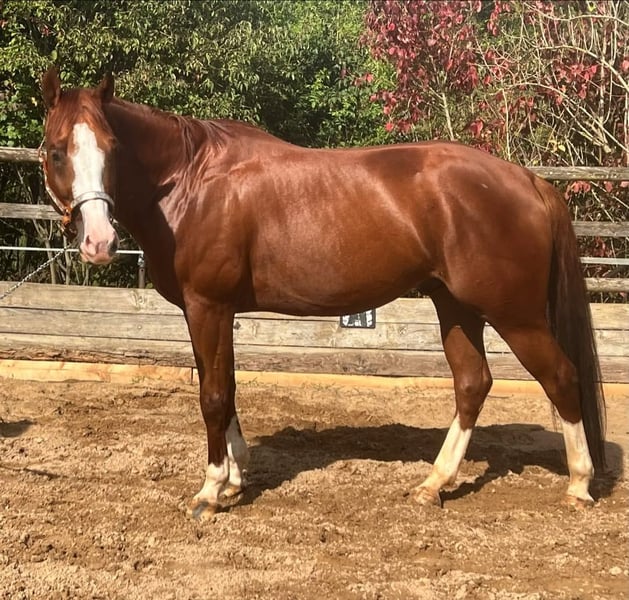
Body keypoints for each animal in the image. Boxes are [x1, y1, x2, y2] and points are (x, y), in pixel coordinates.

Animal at [40, 67, 605, 520]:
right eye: (56, 150)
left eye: (112, 150)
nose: (99, 242)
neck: (191, 181)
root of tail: (528, 180)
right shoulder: (211, 312)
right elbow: (228, 389)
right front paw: (237, 478)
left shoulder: (208, 307)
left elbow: (214, 396)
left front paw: (210, 490)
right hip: (457, 306)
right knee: (472, 384)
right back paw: (432, 484)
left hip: (516, 315)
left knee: (561, 376)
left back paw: (579, 485)